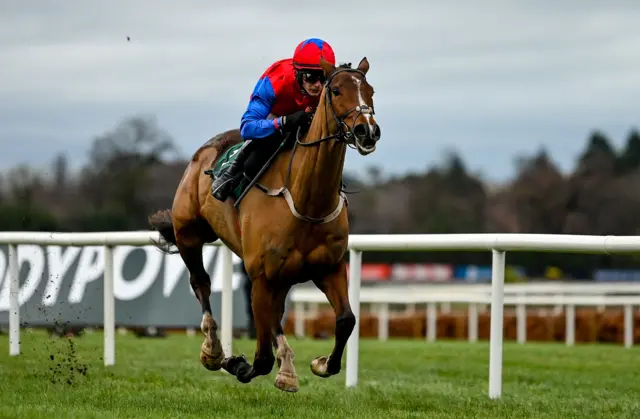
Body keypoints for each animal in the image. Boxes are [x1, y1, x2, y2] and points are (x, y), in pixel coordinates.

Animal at [149, 56, 380, 394]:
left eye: (370, 91)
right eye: (336, 90)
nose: (367, 131)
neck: (307, 200)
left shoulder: (329, 268)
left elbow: (346, 320)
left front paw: (321, 363)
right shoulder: (260, 275)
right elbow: (260, 360)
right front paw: (235, 362)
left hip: (279, 276)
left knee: (275, 314)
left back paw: (287, 366)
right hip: (188, 233)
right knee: (201, 283)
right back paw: (213, 350)